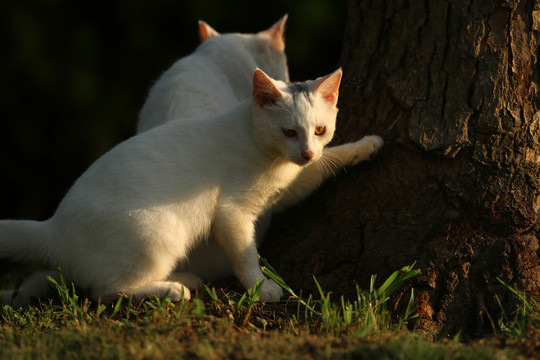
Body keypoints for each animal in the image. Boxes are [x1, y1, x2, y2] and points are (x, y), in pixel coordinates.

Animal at [0, 68, 382, 304]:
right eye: (288, 132)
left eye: (319, 130)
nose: (306, 152)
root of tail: (54, 228)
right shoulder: (231, 214)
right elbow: (245, 254)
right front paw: (261, 288)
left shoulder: (288, 187)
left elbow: (322, 167)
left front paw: (368, 146)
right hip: (157, 233)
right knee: (105, 291)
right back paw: (173, 290)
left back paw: (184, 279)